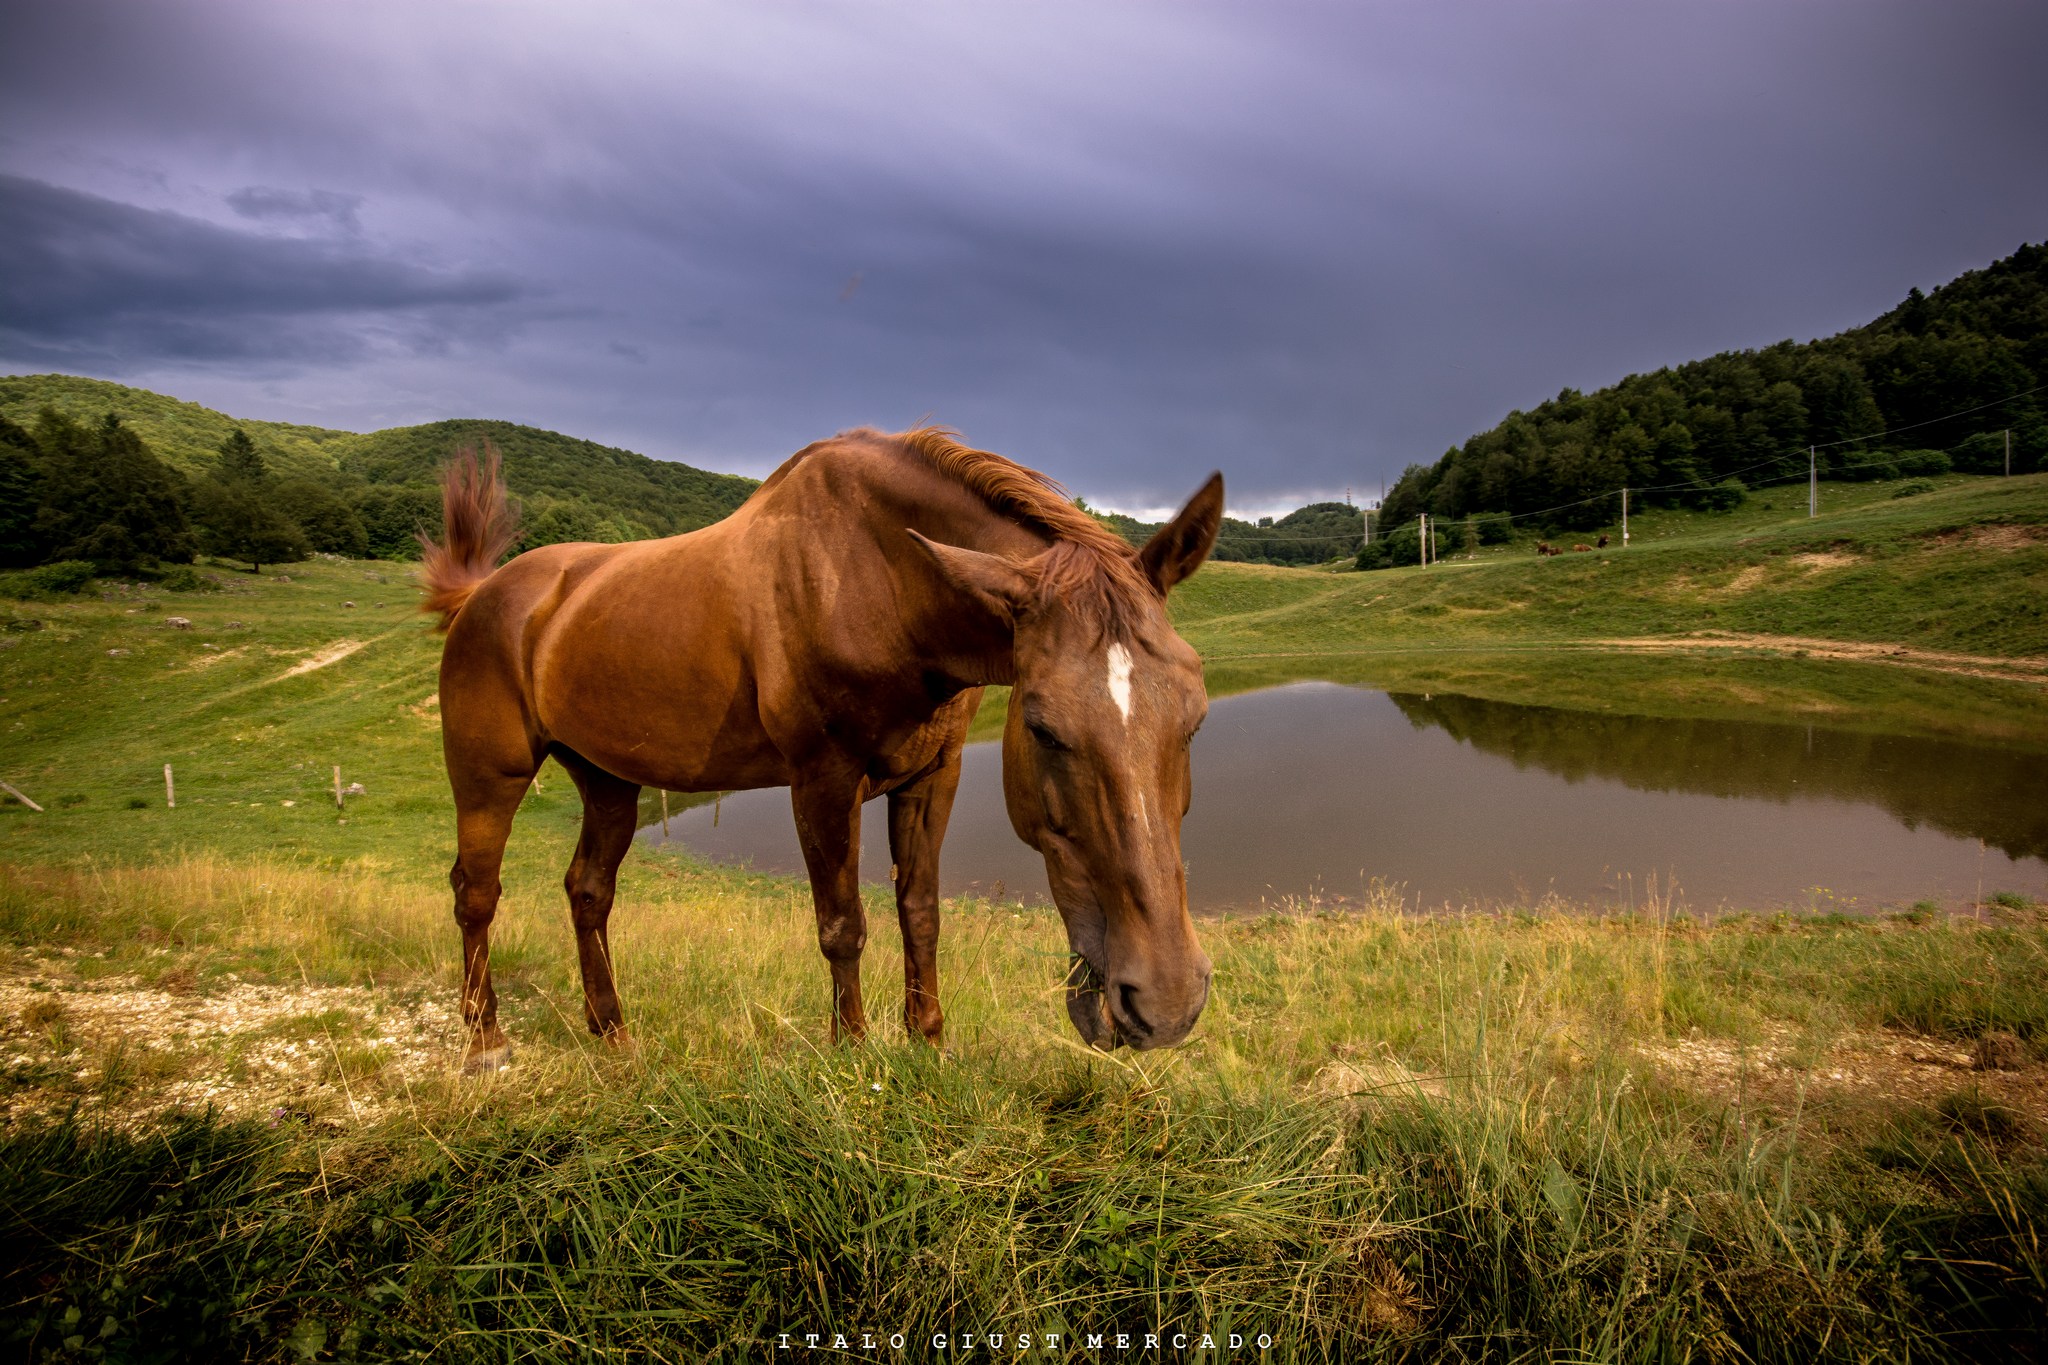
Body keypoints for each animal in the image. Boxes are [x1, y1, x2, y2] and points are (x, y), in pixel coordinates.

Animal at [421, 427, 1225, 1073]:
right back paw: (486, 1041)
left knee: (588, 891)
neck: (880, 582)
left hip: (609, 780)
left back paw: (612, 1032)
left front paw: (927, 1043)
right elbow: (843, 926)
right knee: (475, 894)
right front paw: (854, 1053)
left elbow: (920, 912)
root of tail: (483, 594)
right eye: (1041, 727)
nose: (1166, 1001)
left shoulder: (932, 776)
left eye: (1194, 720)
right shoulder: (824, 781)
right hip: (489, 776)